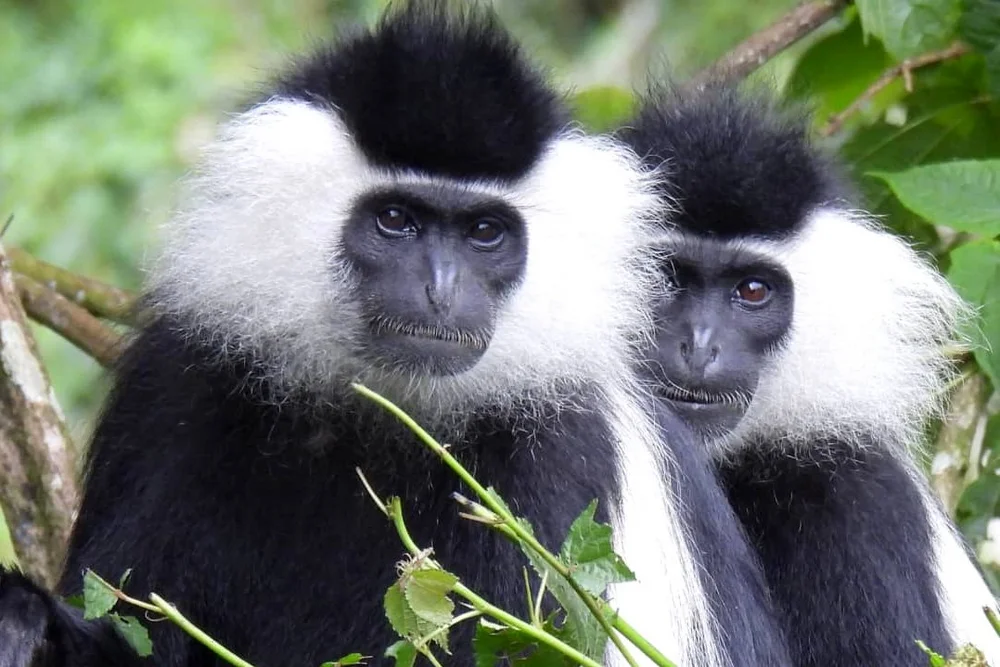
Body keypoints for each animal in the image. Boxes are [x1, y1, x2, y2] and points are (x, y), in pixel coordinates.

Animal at [0, 6, 794, 667]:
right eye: (395, 220)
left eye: (484, 232)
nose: (440, 291)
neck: (386, 416)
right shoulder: (177, 385)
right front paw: (22, 619)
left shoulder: (562, 467)